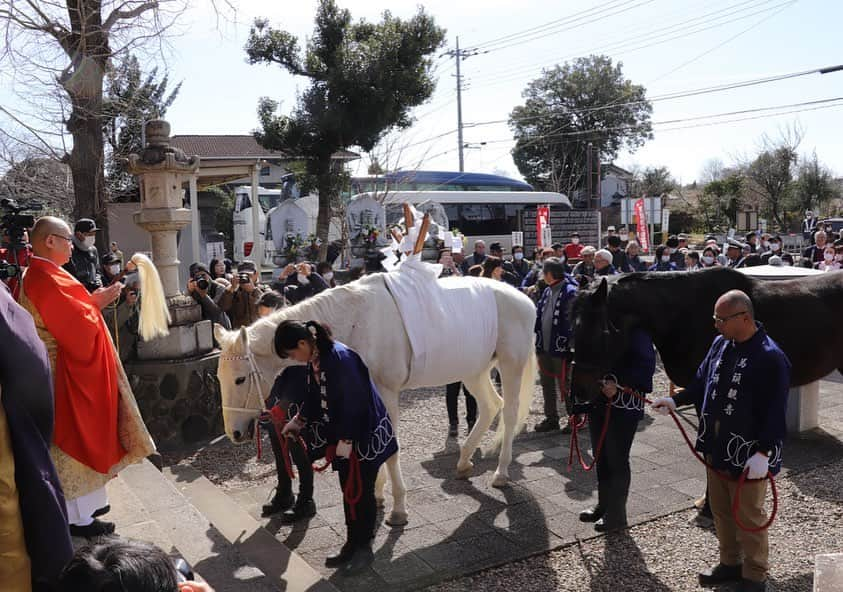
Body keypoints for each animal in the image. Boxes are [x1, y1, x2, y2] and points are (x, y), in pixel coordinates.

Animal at [214, 270, 536, 524]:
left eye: (240, 379)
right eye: (218, 378)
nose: (234, 432)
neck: (355, 321)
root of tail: (523, 298)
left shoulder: (387, 390)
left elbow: (389, 445)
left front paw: (398, 508)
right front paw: (378, 493)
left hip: (511, 363)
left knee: (509, 412)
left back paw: (501, 471)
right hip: (473, 369)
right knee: (490, 405)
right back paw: (465, 459)